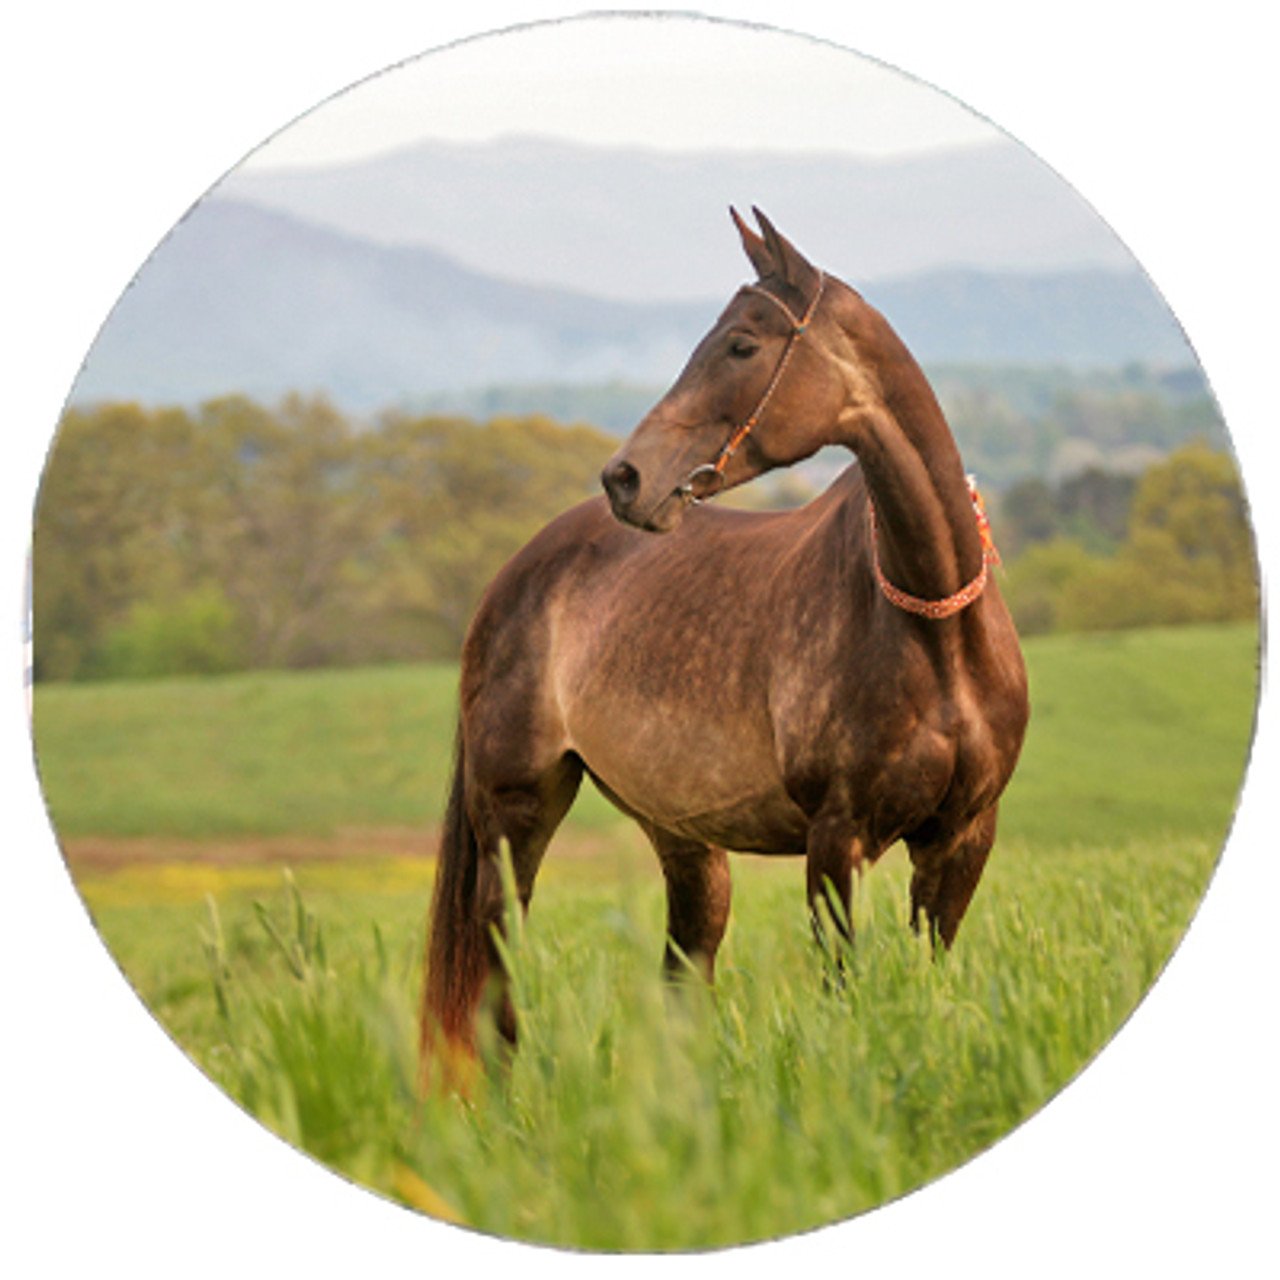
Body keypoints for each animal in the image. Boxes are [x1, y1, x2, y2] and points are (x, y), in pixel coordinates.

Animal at [420, 209, 1029, 1078]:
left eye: (742, 344)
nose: (626, 478)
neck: (933, 624)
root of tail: (514, 576)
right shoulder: (837, 840)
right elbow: (842, 990)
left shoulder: (962, 838)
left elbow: (927, 976)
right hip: (515, 815)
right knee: (500, 978)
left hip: (685, 844)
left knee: (682, 975)